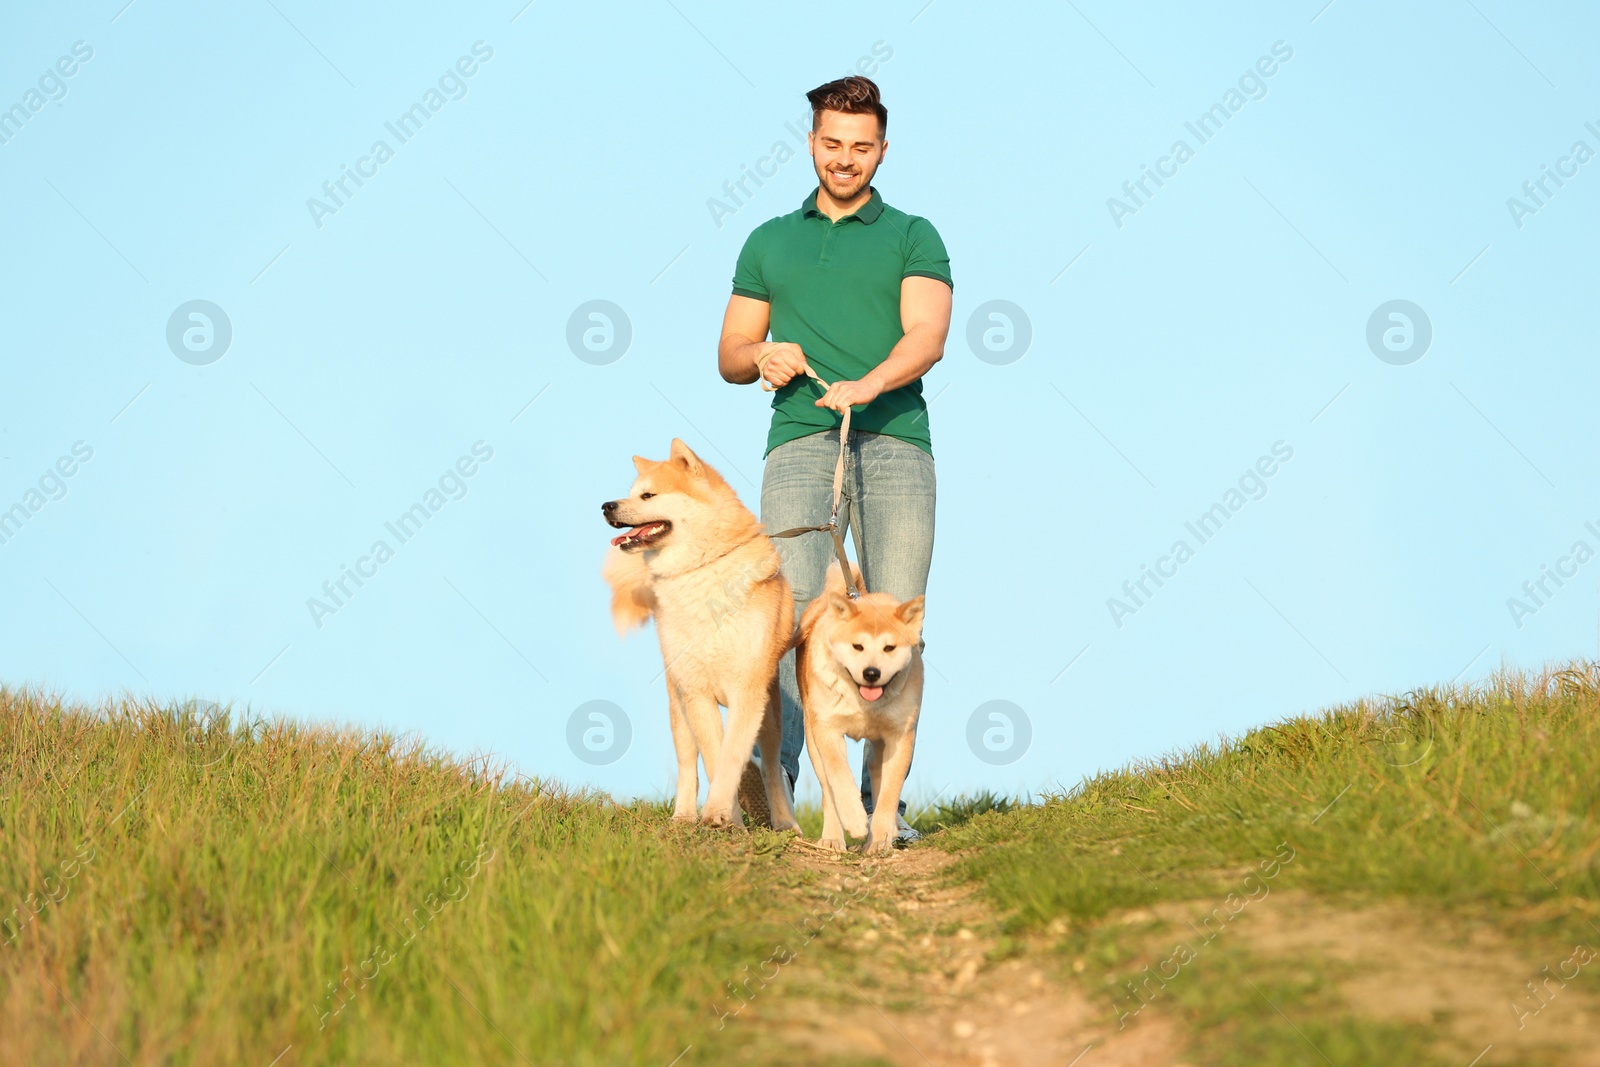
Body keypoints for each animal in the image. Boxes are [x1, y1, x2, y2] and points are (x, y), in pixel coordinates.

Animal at [601, 438, 800, 831]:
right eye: (631, 493)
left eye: (648, 495)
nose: (606, 506)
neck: (700, 570)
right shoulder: (697, 694)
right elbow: (712, 757)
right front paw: (725, 817)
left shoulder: (747, 693)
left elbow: (731, 758)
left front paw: (723, 813)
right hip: (678, 709)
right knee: (687, 766)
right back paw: (684, 816)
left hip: (769, 718)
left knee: (772, 768)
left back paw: (786, 823)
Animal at [796, 563, 928, 857]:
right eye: (857, 646)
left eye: (889, 647)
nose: (871, 673)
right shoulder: (828, 730)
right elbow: (839, 778)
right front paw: (855, 820)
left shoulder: (900, 737)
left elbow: (889, 794)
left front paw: (880, 838)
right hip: (813, 740)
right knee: (828, 792)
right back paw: (833, 839)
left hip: (878, 750)